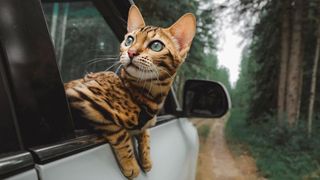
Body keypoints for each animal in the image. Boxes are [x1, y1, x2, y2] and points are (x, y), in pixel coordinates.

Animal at [64, 4, 196, 179]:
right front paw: (131, 164)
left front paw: (146, 158)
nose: (131, 52)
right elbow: (120, 133)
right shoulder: (82, 97)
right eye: (129, 40)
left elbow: (145, 131)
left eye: (156, 45)